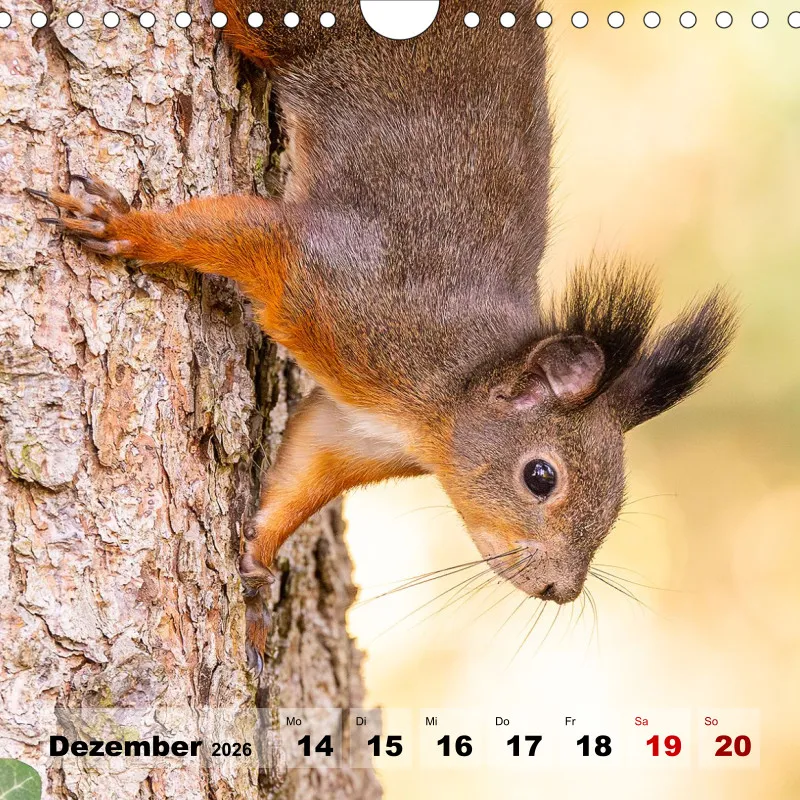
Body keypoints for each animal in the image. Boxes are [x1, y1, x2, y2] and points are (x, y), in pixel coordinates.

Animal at [28, 0, 737, 668]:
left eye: (617, 502)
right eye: (541, 478)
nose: (560, 590)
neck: (438, 402)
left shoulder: (350, 430)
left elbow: (300, 477)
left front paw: (256, 568)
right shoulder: (333, 276)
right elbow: (231, 231)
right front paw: (128, 228)